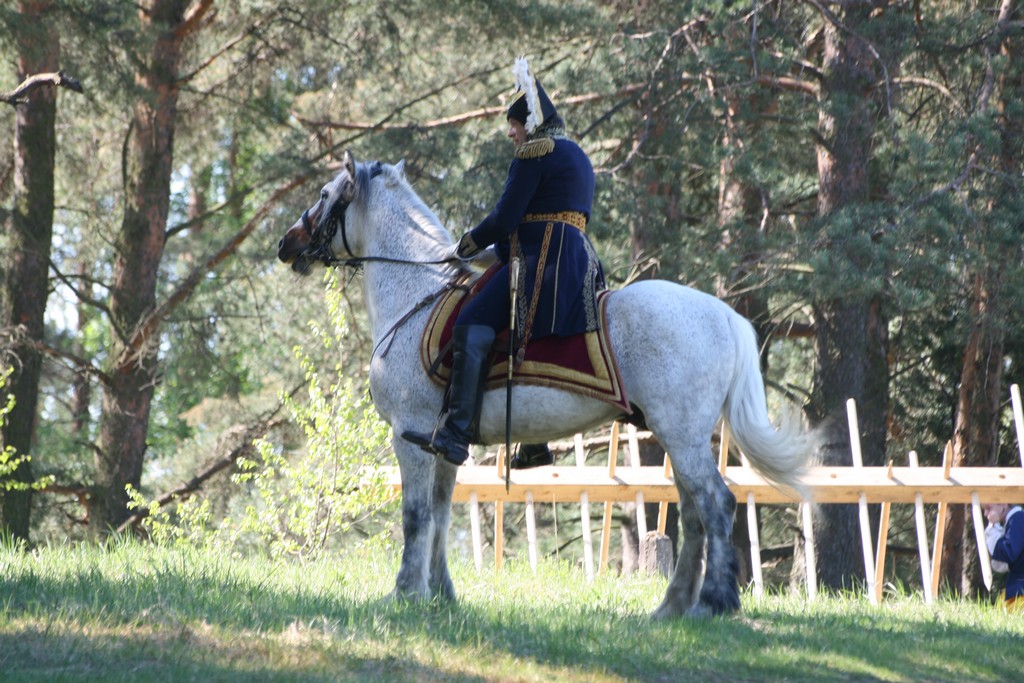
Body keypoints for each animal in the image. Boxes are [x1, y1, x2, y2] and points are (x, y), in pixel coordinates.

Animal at [277, 150, 812, 618]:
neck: (416, 297)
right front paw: (441, 595)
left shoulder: (408, 435)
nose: (286, 244)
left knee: (716, 505)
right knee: (696, 514)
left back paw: (712, 602)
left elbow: (415, 516)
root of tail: (724, 314)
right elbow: (441, 515)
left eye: (325, 194)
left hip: (681, 435)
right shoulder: (440, 441)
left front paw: (406, 593)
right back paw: (671, 607)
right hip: (680, 438)